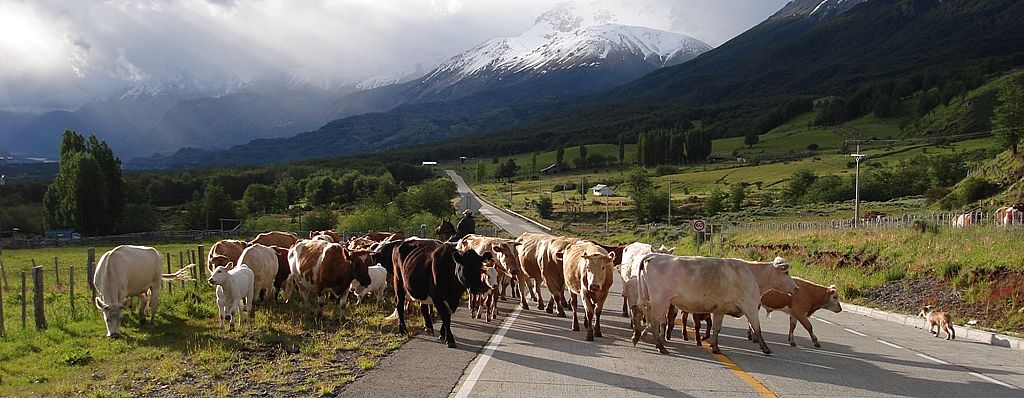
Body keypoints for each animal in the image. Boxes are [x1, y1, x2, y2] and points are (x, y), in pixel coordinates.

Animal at [630, 254, 798, 354]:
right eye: (786, 273)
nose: (796, 288)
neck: (752, 274)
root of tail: (655, 256)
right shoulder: (750, 307)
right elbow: (757, 328)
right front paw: (765, 348)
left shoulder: (720, 309)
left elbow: (716, 328)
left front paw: (714, 346)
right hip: (660, 300)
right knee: (654, 321)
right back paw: (660, 346)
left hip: (651, 300)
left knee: (645, 316)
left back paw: (639, 336)